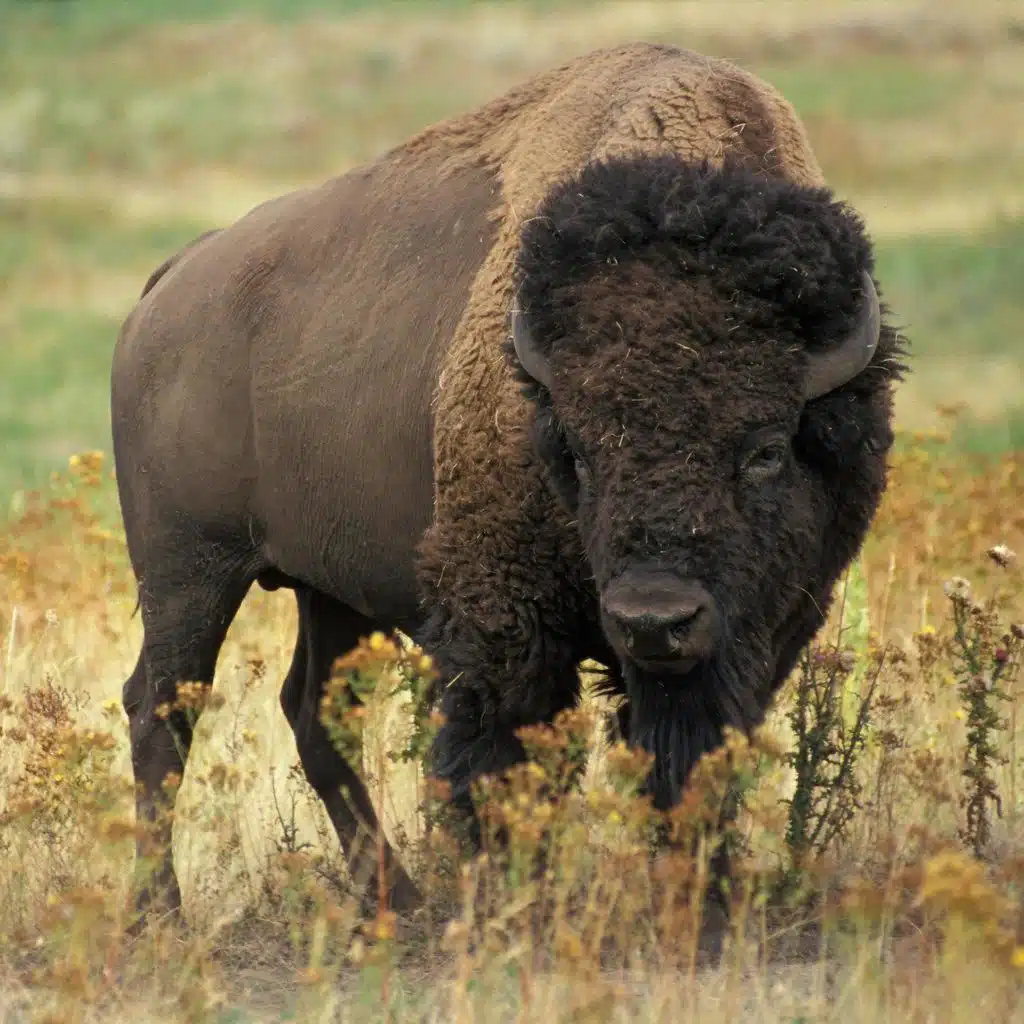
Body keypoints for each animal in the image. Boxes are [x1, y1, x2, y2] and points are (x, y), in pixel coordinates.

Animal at [110, 41, 906, 922]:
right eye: (578, 451)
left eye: (766, 449)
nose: (654, 620)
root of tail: (172, 282)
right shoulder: (504, 623)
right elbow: (505, 763)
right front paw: (513, 900)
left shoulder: (761, 631)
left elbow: (693, 762)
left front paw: (704, 905)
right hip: (190, 572)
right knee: (162, 711)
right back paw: (162, 915)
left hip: (329, 589)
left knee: (313, 713)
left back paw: (397, 904)